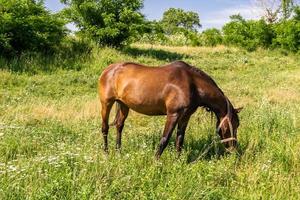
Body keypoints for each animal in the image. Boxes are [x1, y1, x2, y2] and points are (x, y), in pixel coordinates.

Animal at [97, 60, 243, 159]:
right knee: (105, 128)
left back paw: (118, 151)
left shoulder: (185, 116)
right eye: (233, 125)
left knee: (119, 126)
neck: (192, 84)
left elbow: (180, 139)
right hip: (106, 103)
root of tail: (108, 70)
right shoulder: (173, 114)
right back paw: (106, 153)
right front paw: (156, 162)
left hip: (123, 105)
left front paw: (178, 161)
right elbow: (165, 139)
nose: (233, 148)